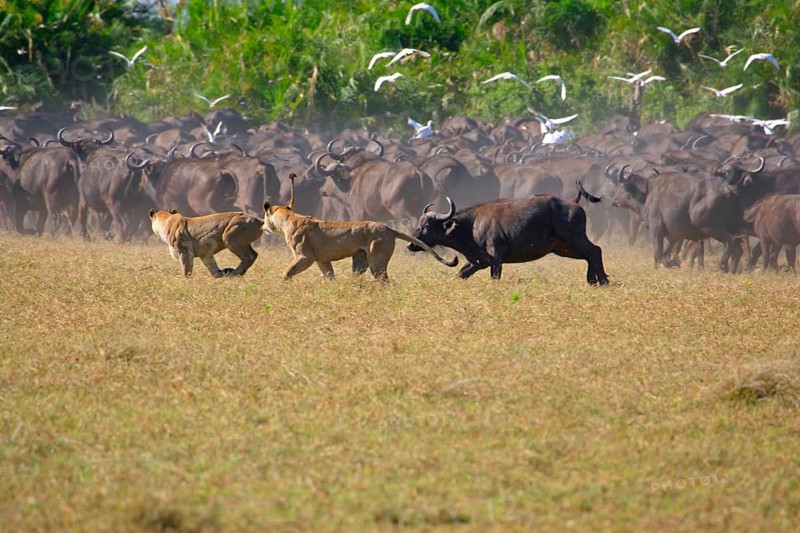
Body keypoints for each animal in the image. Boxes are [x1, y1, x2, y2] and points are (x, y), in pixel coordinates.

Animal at [262, 174, 457, 280]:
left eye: (264, 216)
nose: (263, 225)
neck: (288, 218)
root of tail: (390, 229)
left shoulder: (305, 257)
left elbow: (286, 272)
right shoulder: (322, 259)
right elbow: (329, 276)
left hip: (377, 261)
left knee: (384, 282)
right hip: (360, 260)